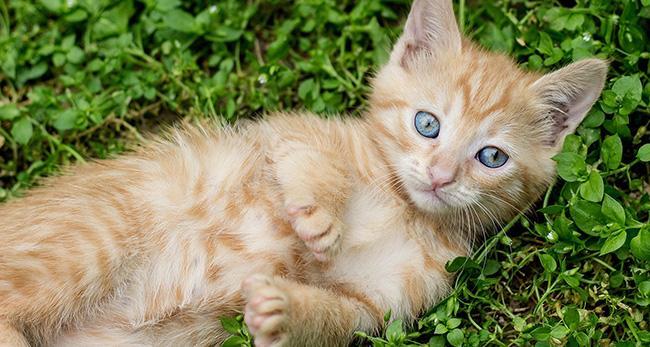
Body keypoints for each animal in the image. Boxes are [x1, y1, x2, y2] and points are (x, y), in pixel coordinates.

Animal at [1, 0, 608, 347]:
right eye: (427, 123)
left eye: (491, 158)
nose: (439, 175)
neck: (404, 209)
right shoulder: (286, 134)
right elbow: (316, 160)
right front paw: (318, 218)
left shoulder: (381, 303)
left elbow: (335, 318)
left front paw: (283, 312)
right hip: (88, 241)